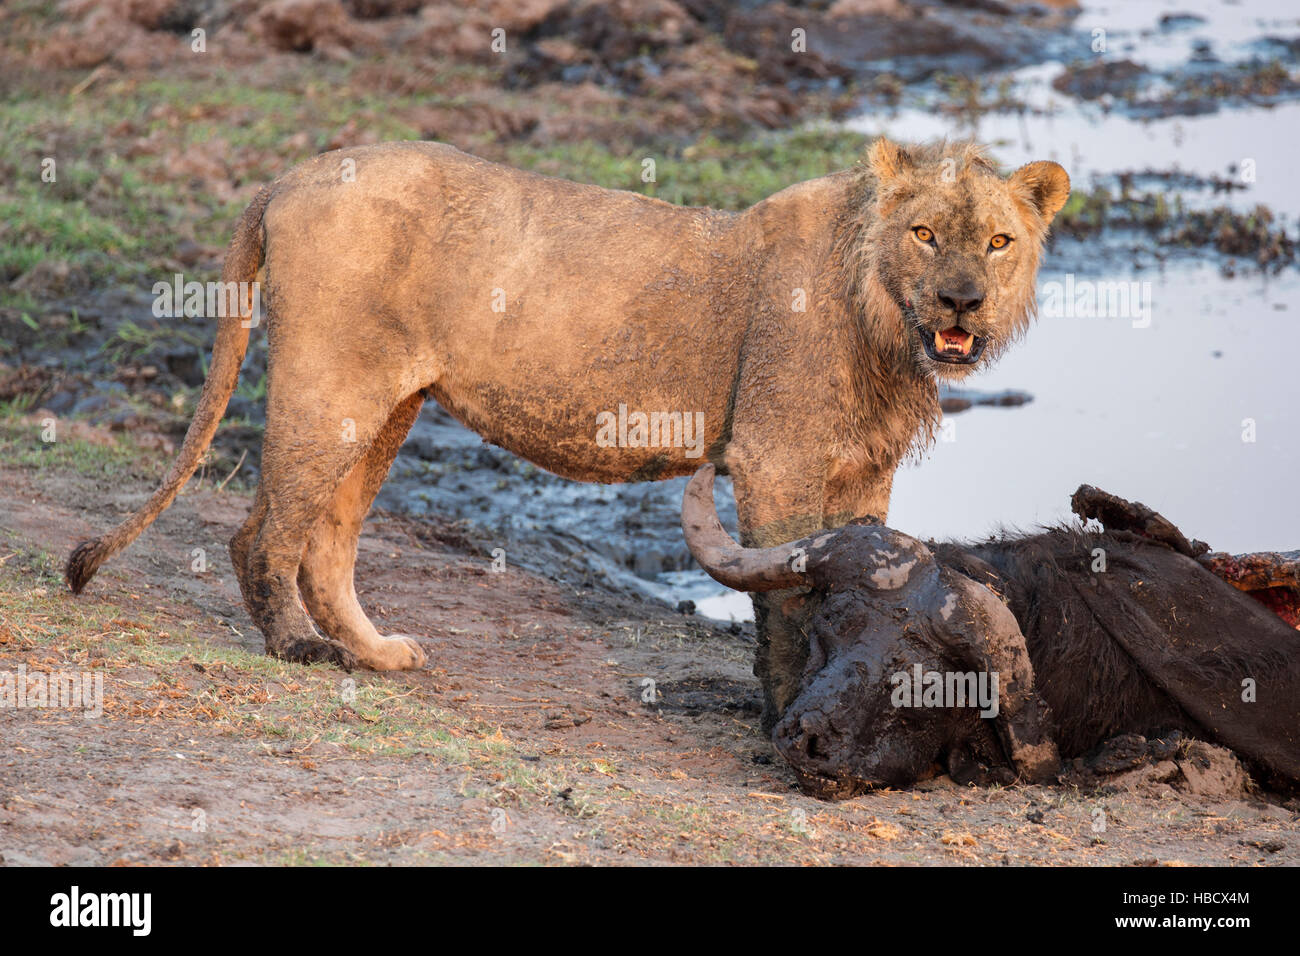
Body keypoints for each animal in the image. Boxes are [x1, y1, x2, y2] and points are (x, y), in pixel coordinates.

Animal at [65, 140, 1066, 717]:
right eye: (927, 233)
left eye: (999, 242)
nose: (963, 302)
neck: (885, 322)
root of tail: (290, 174)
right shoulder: (774, 458)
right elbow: (786, 594)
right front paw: (786, 714)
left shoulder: (863, 472)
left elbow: (857, 578)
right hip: (332, 382)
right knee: (263, 533)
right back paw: (299, 650)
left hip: (390, 402)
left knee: (328, 539)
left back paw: (374, 652)